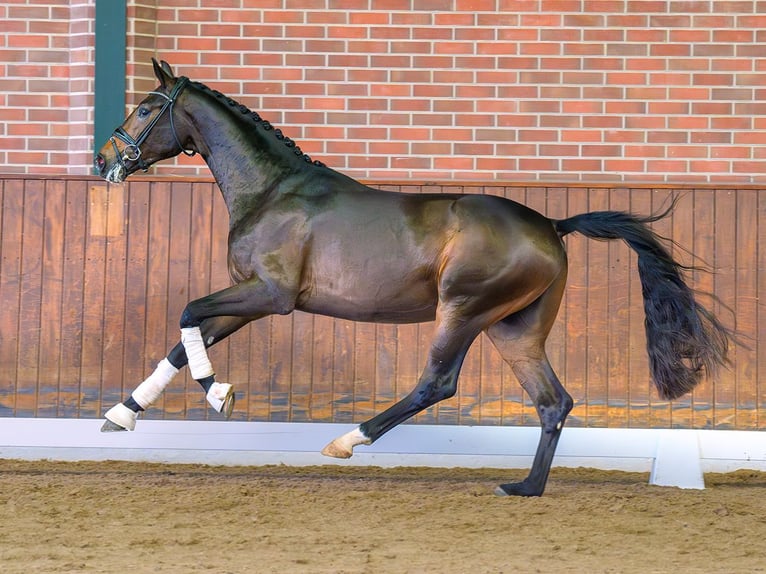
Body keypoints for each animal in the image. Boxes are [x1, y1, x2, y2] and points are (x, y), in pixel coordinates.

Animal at [94, 59, 732, 500]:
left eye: (147, 107)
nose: (104, 160)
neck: (274, 191)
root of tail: (552, 224)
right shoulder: (249, 297)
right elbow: (184, 340)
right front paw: (121, 416)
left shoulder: (271, 296)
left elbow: (187, 315)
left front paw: (219, 393)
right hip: (514, 329)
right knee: (553, 402)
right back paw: (525, 488)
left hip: (465, 310)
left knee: (438, 384)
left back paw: (348, 441)